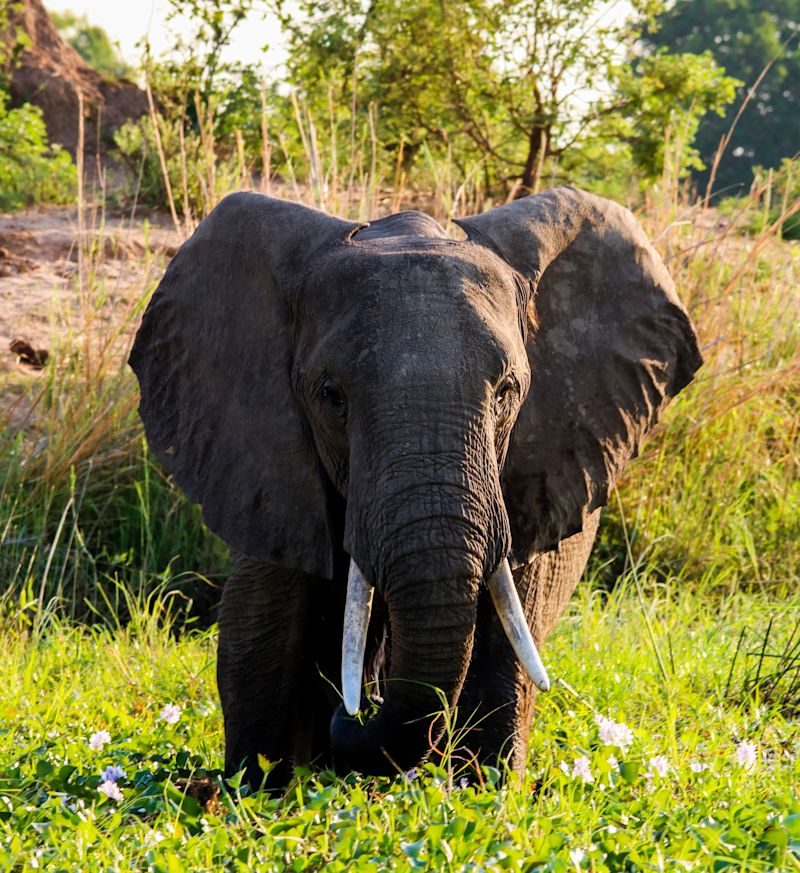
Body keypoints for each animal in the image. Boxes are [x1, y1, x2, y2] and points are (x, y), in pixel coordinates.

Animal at [126, 187, 700, 788]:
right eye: (331, 395)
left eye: (507, 391)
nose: (359, 707)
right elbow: (263, 628)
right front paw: (257, 790)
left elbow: (508, 635)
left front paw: (486, 791)